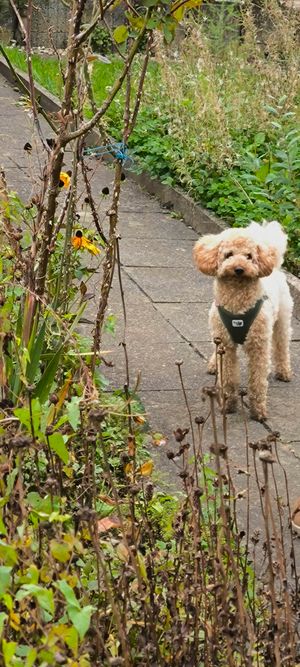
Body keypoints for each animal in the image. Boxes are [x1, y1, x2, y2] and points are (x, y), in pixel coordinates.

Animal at [192, 224, 292, 422]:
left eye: (249, 256)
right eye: (228, 254)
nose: (239, 268)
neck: (237, 302)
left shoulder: (259, 345)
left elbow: (258, 380)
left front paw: (258, 410)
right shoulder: (225, 343)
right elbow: (228, 377)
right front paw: (228, 404)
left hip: (282, 320)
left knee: (282, 344)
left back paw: (284, 370)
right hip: (217, 330)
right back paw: (213, 365)